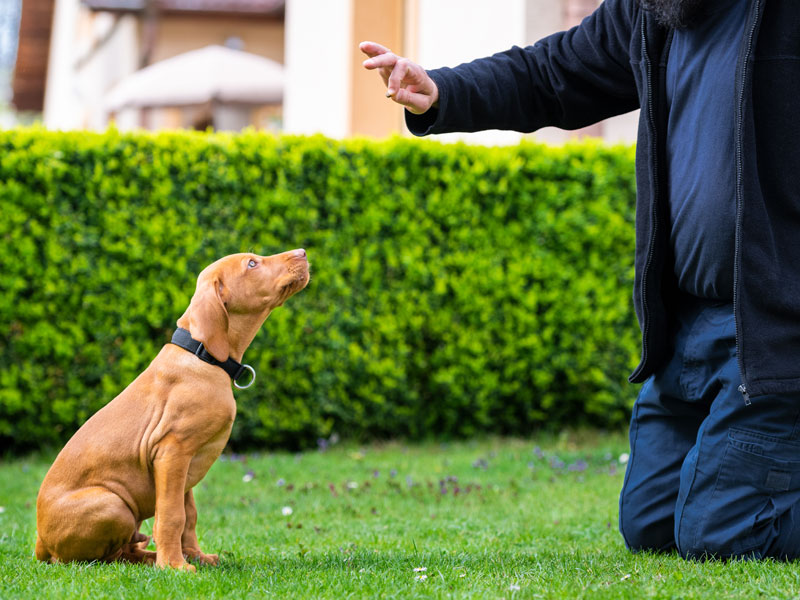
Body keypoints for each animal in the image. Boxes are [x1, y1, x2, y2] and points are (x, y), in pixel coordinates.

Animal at [35, 250, 310, 572]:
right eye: (252, 264)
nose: (303, 253)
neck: (203, 355)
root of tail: (40, 544)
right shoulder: (172, 452)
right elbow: (171, 515)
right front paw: (175, 566)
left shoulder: (187, 462)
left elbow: (188, 516)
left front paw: (195, 556)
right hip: (112, 504)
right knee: (102, 558)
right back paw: (153, 559)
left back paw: (149, 554)